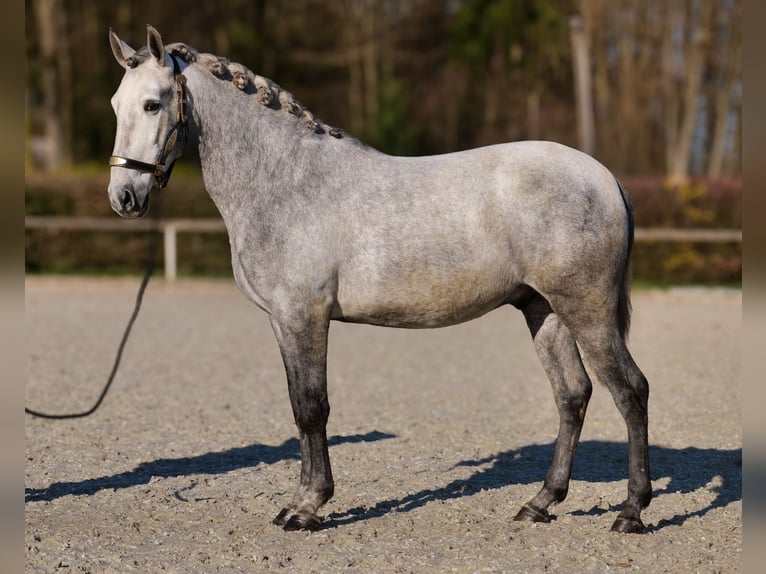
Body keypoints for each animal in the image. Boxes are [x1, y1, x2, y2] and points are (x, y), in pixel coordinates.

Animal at [107, 26, 651, 534]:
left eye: (153, 104)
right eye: (116, 105)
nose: (124, 197)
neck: (285, 180)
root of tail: (605, 178)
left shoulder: (303, 315)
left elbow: (312, 407)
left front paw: (307, 508)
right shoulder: (282, 321)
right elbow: (299, 406)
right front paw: (301, 501)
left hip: (587, 310)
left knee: (630, 390)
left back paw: (631, 512)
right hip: (545, 310)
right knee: (572, 395)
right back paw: (540, 503)